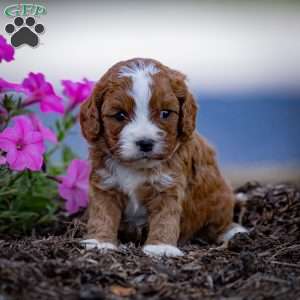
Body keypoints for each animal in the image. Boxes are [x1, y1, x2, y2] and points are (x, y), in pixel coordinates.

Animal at [79, 57, 246, 256]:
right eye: (119, 115)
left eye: (165, 113)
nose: (145, 143)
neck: (137, 167)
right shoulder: (105, 184)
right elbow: (102, 213)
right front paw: (99, 242)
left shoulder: (168, 185)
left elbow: (165, 217)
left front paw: (161, 248)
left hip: (220, 199)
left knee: (220, 224)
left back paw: (233, 231)